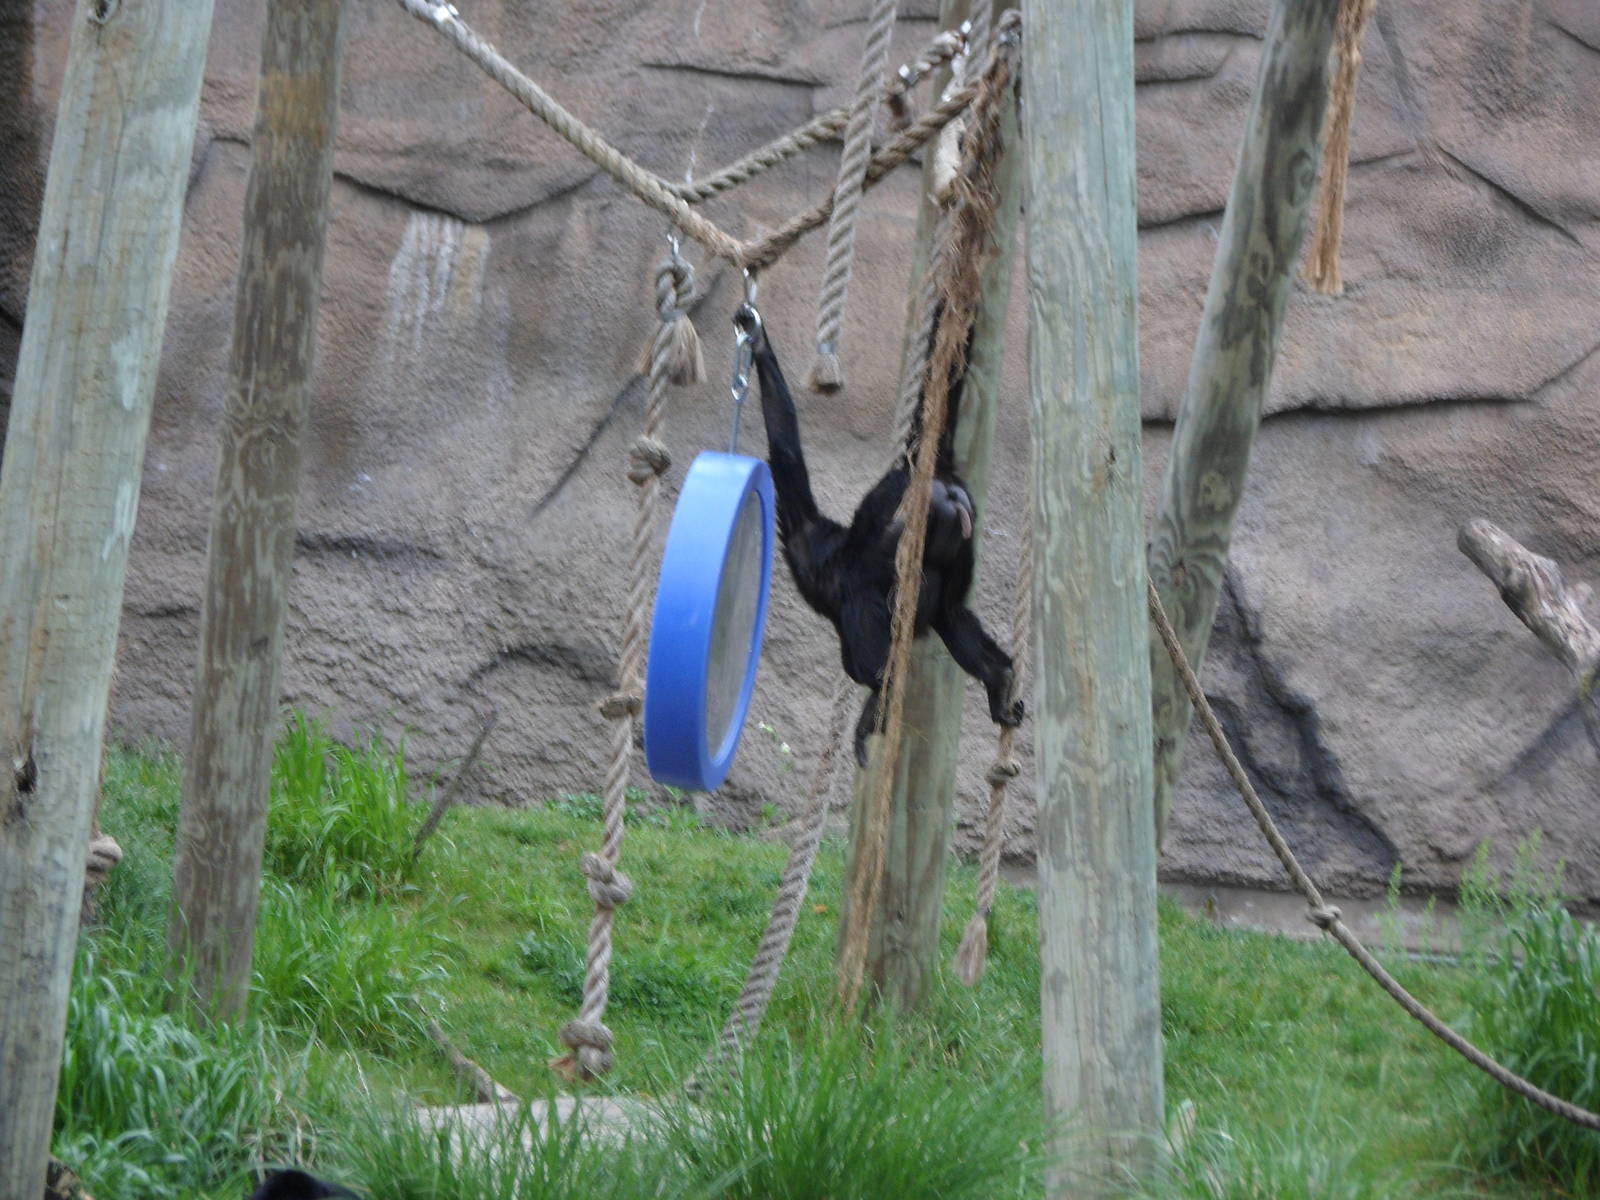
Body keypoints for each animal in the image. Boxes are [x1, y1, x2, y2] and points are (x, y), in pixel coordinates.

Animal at [733, 302, 1022, 766]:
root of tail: (930, 476)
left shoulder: (809, 543)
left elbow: (787, 455)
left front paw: (759, 344)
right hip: (957, 527)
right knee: (951, 610)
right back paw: (999, 678)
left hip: (922, 520)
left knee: (876, 630)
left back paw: (875, 706)